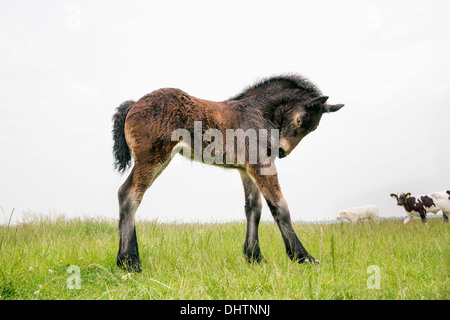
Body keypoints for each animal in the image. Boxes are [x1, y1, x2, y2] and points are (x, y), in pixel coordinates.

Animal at [112, 74, 344, 272]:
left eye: (312, 129)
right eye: (299, 120)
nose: (281, 151)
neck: (258, 112)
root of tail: (134, 103)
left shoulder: (246, 169)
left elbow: (254, 208)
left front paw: (254, 257)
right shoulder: (261, 164)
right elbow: (280, 207)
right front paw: (303, 257)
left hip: (160, 160)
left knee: (126, 193)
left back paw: (127, 259)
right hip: (151, 158)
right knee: (130, 195)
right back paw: (130, 262)